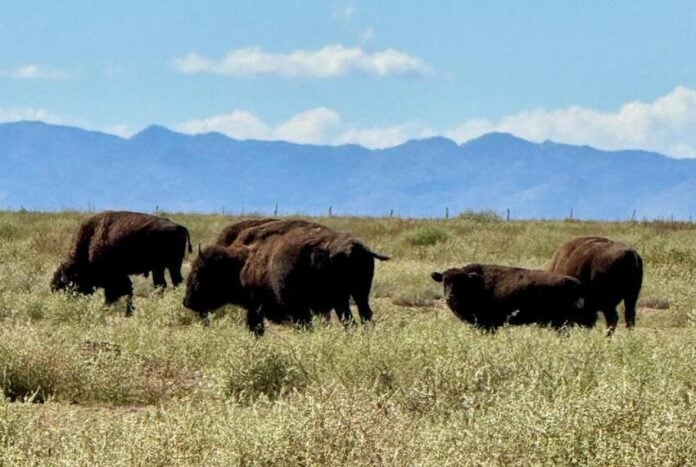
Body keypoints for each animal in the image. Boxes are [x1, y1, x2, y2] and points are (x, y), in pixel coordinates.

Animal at [51, 211, 192, 315]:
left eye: (71, 283)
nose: (70, 300)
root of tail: (179, 227)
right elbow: (127, 291)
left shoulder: (114, 278)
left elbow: (115, 294)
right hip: (160, 268)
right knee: (162, 284)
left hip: (171, 266)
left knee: (173, 282)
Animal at [183, 220, 389, 335]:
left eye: (200, 271)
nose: (187, 301)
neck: (242, 261)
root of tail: (357, 247)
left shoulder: (257, 306)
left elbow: (256, 327)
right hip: (356, 297)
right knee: (361, 318)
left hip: (339, 300)